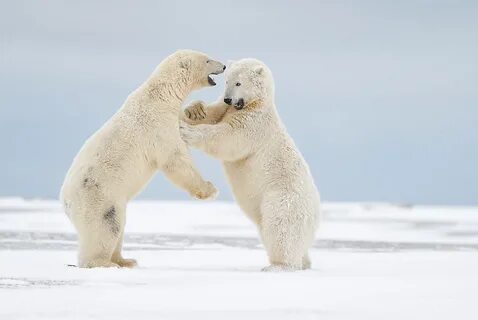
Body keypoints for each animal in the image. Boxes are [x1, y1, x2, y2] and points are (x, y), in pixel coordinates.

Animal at [60, 50, 225, 268]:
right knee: (108, 225)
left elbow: (183, 124)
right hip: (99, 196)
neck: (159, 96)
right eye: (207, 59)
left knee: (119, 226)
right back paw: (104, 262)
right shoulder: (157, 127)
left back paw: (126, 260)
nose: (224, 66)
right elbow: (176, 159)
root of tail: (66, 201)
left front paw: (196, 110)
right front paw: (210, 190)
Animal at [181, 58, 320, 272]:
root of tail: (316, 215)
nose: (228, 99)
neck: (254, 104)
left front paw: (187, 132)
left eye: (238, 83)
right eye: (227, 81)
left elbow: (228, 138)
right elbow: (211, 113)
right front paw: (195, 110)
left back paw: (278, 266)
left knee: (280, 228)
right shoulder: (225, 110)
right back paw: (304, 262)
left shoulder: (255, 124)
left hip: (283, 199)